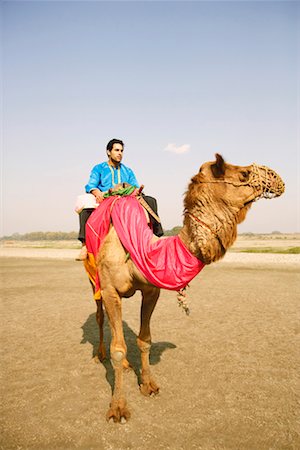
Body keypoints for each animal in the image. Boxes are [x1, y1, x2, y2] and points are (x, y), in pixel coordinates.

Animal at [86, 154, 284, 422]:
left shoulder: (152, 290)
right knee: (99, 316)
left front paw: (149, 385)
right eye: (244, 174)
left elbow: (144, 340)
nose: (277, 178)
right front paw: (118, 408)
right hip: (94, 280)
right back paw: (100, 355)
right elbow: (118, 349)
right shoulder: (109, 290)